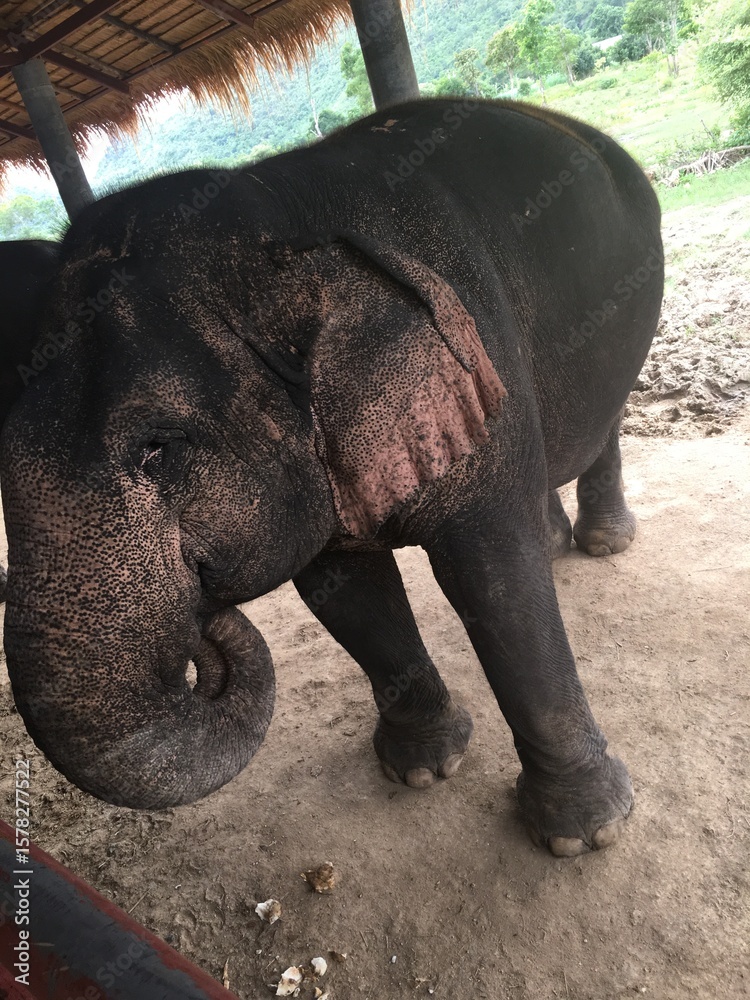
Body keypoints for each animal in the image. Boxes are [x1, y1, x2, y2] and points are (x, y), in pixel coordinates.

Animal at [0, 99, 663, 857]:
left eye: (157, 447)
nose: (199, 627)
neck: (279, 215)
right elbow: (345, 592)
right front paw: (422, 769)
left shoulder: (473, 356)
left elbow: (493, 577)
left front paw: (585, 835)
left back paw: (604, 543)